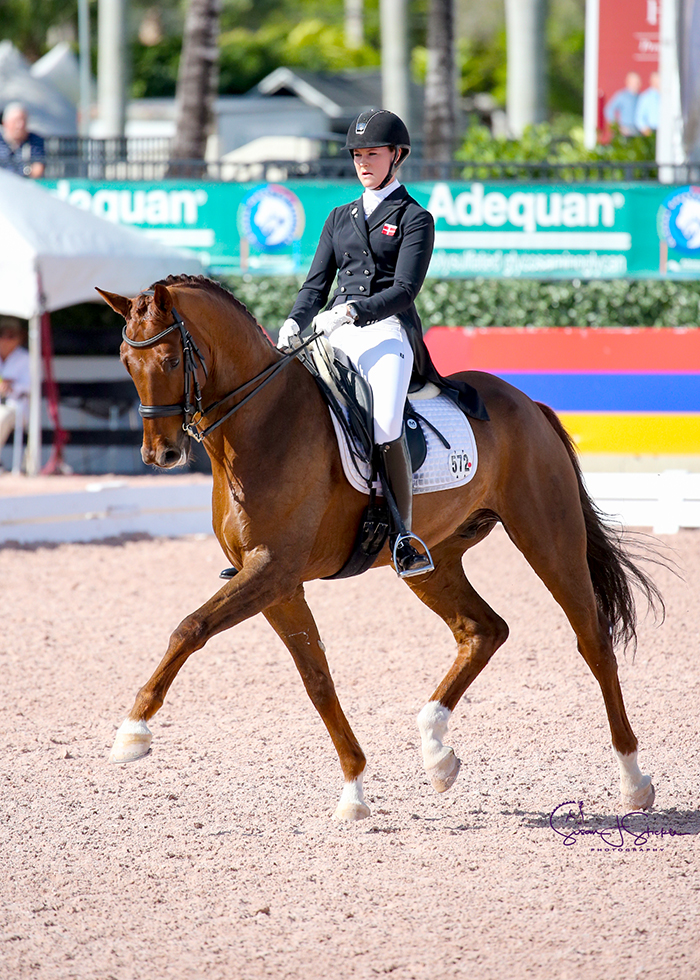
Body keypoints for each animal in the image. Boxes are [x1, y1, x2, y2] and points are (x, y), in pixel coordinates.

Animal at [97, 274, 660, 820]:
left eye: (171, 360)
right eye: (125, 361)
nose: (160, 455)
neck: (259, 424)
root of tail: (528, 403)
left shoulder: (273, 571)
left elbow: (190, 628)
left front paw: (132, 733)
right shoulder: (276, 584)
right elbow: (316, 678)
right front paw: (354, 790)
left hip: (548, 537)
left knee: (592, 640)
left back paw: (634, 782)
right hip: (431, 562)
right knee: (482, 630)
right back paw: (437, 754)